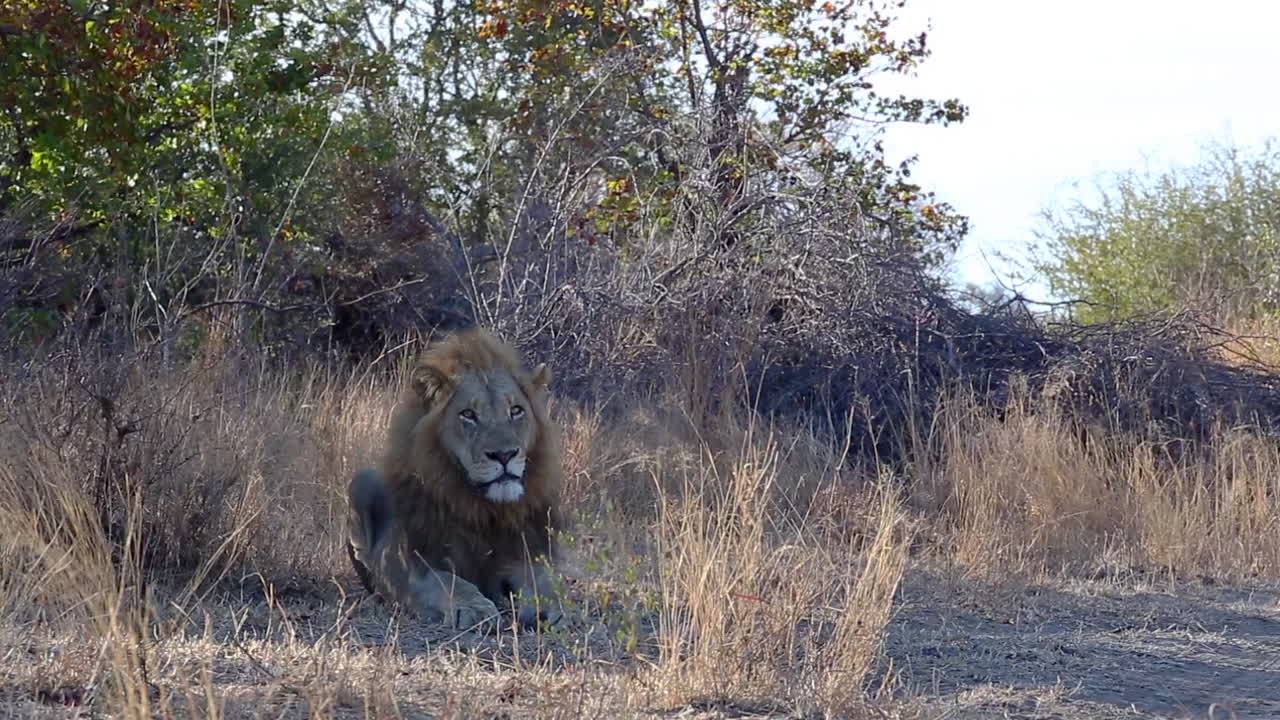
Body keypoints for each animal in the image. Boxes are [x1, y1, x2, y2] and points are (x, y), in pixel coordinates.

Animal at [346, 328, 565, 631]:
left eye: (516, 410)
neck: (484, 509)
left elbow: (541, 580)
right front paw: (476, 609)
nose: (504, 455)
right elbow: (449, 583)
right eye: (468, 415)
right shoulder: (412, 563)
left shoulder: (524, 553)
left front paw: (546, 608)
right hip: (360, 482)